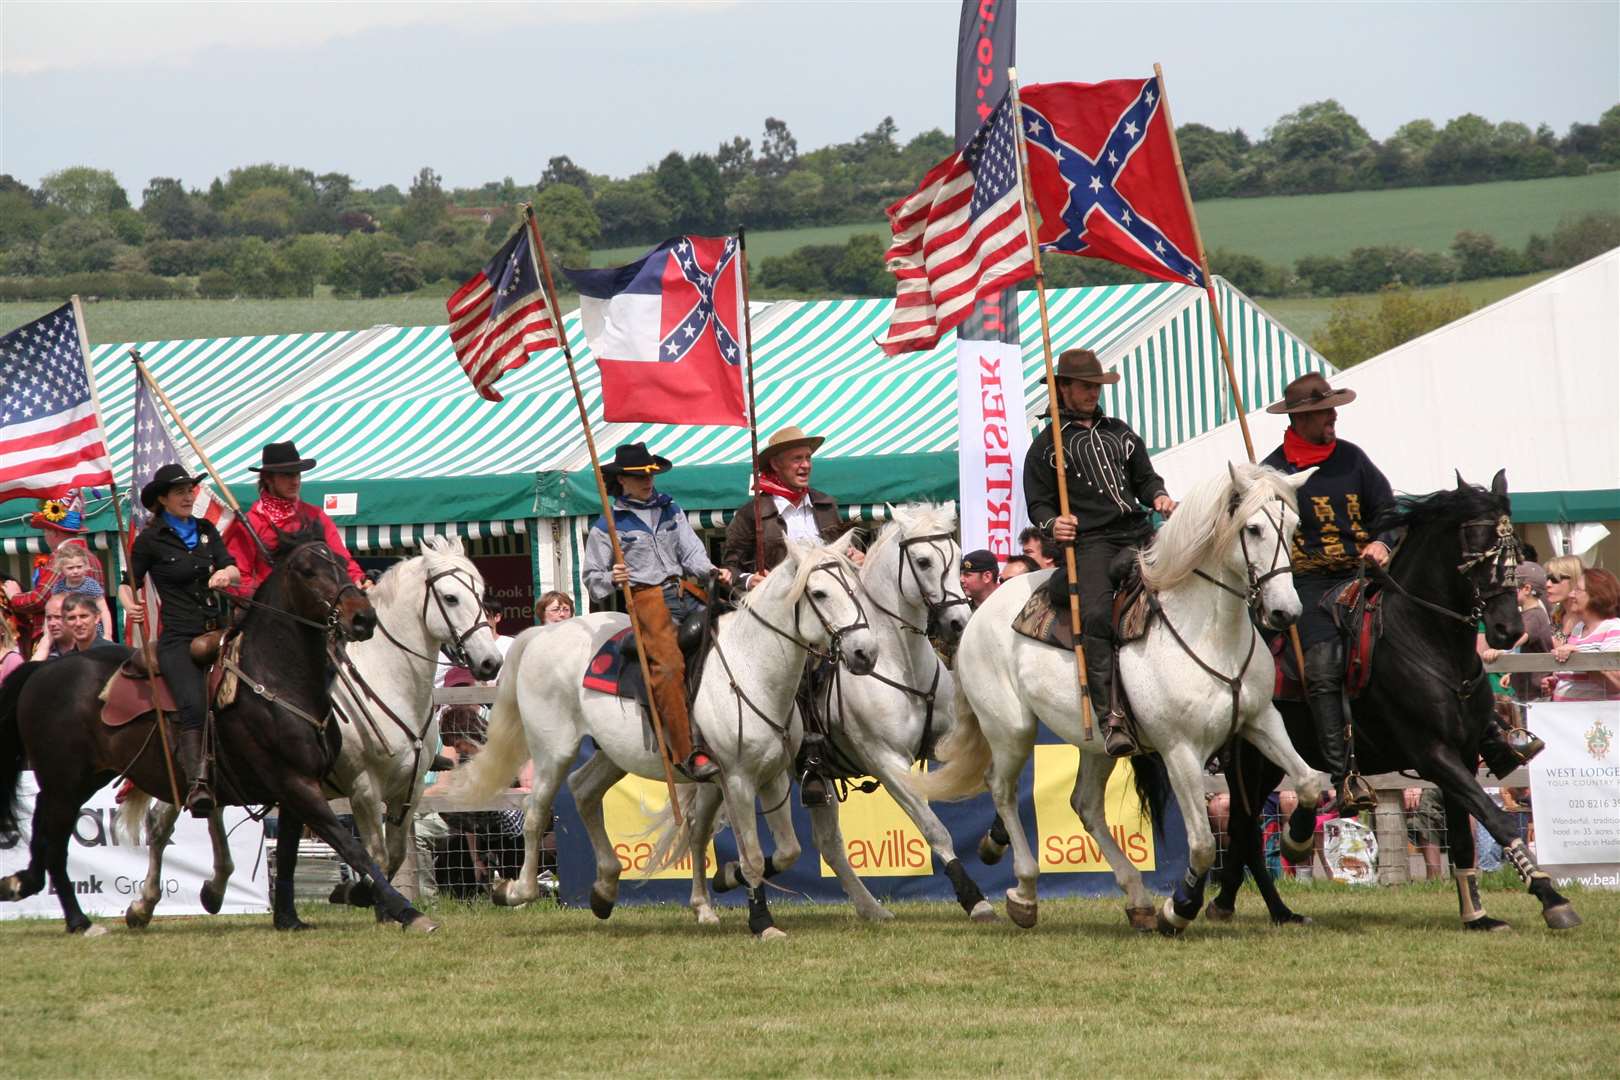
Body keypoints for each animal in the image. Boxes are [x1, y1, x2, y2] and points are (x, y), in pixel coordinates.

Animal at [0, 527, 437, 932]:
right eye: (308, 571)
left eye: (343, 563)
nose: (363, 618)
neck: (277, 678)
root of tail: (45, 669)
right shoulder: (305, 784)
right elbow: (355, 849)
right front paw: (406, 911)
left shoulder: (312, 786)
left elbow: (294, 854)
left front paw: (288, 917)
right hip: (65, 778)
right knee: (59, 841)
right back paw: (80, 919)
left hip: (86, 778)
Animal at [117, 537, 498, 926]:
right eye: (450, 598)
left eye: (481, 593)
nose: (491, 662)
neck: (387, 680)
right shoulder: (362, 788)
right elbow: (374, 853)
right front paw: (367, 898)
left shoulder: (410, 789)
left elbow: (393, 854)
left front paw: (372, 901)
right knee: (162, 824)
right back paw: (146, 903)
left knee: (206, 815)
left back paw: (207, 891)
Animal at [456, 540, 881, 939]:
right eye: (820, 593)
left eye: (855, 589)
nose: (865, 652)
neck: (751, 669)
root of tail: (543, 633)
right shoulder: (738, 780)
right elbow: (754, 857)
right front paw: (761, 922)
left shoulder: (772, 776)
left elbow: (787, 850)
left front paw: (726, 878)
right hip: (552, 752)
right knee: (534, 811)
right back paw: (516, 890)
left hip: (613, 754)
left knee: (583, 790)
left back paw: (605, 890)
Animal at [920, 466, 1321, 939]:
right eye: (1253, 529)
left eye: (1293, 528)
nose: (1284, 613)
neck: (1209, 630)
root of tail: (977, 612)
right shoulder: (1180, 750)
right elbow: (1204, 844)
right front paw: (1180, 908)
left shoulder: (1261, 720)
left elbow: (1311, 782)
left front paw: (1297, 841)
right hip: (1011, 730)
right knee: (1000, 788)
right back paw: (1025, 893)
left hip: (1097, 744)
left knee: (1085, 804)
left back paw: (1136, 898)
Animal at [1218, 469, 1581, 932]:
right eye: (1473, 549)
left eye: (1512, 549)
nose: (1507, 629)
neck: (1428, 640)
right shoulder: (1433, 755)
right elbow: (1495, 817)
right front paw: (1550, 895)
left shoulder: (1463, 756)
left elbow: (1464, 836)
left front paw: (1476, 913)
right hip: (1247, 762)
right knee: (1243, 828)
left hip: (1266, 763)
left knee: (1244, 831)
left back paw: (1259, 908)